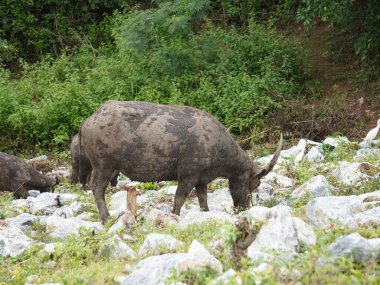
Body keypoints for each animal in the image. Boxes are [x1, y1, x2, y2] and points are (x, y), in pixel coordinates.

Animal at [79, 100, 282, 222]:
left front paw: (205, 213)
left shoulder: (201, 180)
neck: (217, 146)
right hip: (103, 166)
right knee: (97, 189)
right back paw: (105, 217)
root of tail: (87, 121)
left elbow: (203, 200)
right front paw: (174, 217)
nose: (243, 209)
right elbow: (179, 199)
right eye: (255, 184)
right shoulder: (188, 175)